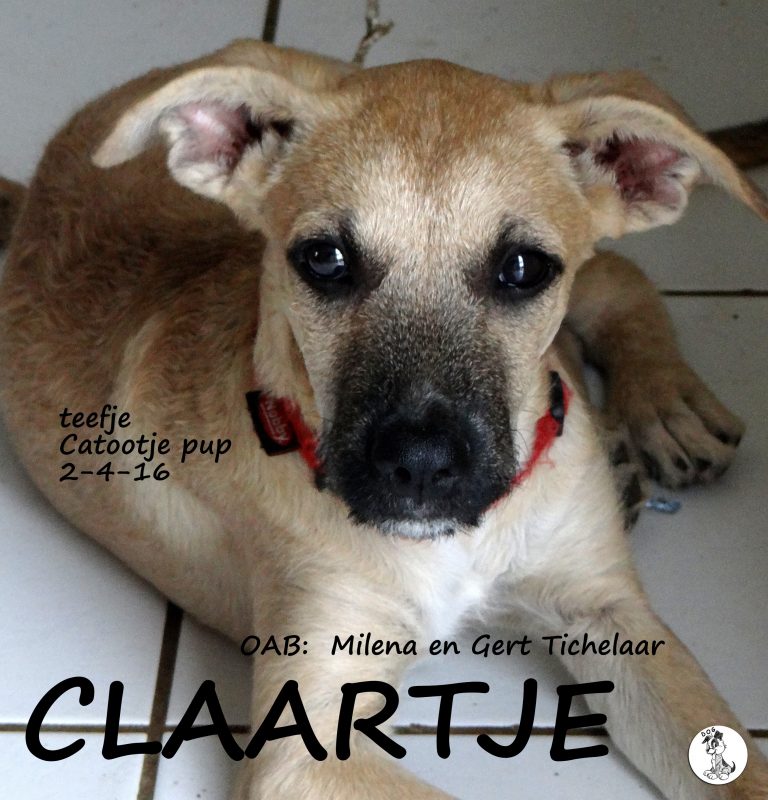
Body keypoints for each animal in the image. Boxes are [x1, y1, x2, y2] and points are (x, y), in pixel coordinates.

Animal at [0, 39, 766, 799]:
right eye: (324, 259)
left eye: (523, 268)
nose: (420, 466)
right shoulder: (303, 742)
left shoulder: (608, 610)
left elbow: (739, 767)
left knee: (617, 280)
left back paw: (669, 407)